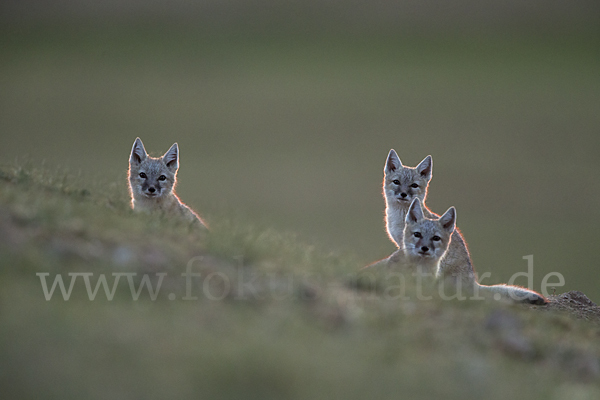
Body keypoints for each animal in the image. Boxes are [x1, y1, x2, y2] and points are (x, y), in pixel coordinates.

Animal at [382, 149, 548, 304]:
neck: (399, 216)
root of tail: (473, 283)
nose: (403, 194)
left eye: (414, 185)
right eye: (396, 182)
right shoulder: (402, 244)